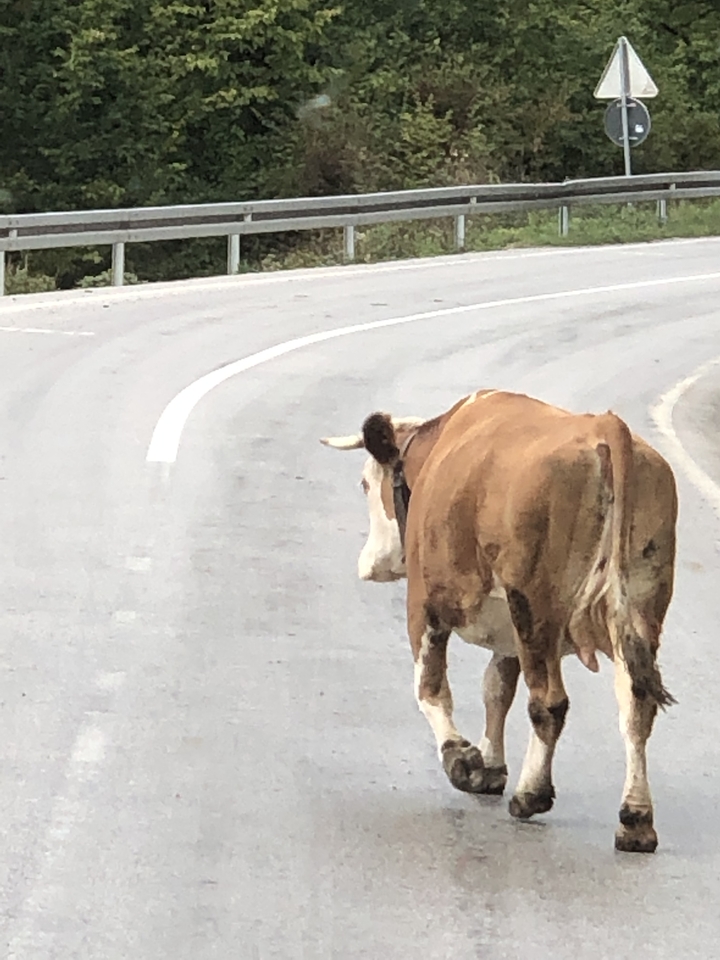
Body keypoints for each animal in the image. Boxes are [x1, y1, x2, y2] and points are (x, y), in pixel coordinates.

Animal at [321, 389, 677, 853]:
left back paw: (531, 794)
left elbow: (430, 688)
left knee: (549, 702)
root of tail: (604, 425)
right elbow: (496, 688)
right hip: (639, 607)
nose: (369, 565)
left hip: (535, 607)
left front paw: (462, 759)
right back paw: (636, 820)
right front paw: (490, 765)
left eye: (365, 484)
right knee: (636, 704)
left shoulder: (424, 604)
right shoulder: (508, 632)